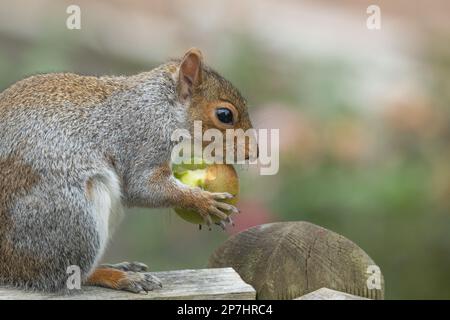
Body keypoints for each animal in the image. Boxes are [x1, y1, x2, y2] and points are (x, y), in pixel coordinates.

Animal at [0, 48, 253, 292]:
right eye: (224, 115)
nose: (254, 152)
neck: (164, 106)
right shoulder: (144, 140)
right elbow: (141, 187)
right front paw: (204, 202)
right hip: (71, 217)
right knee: (67, 276)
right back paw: (118, 277)